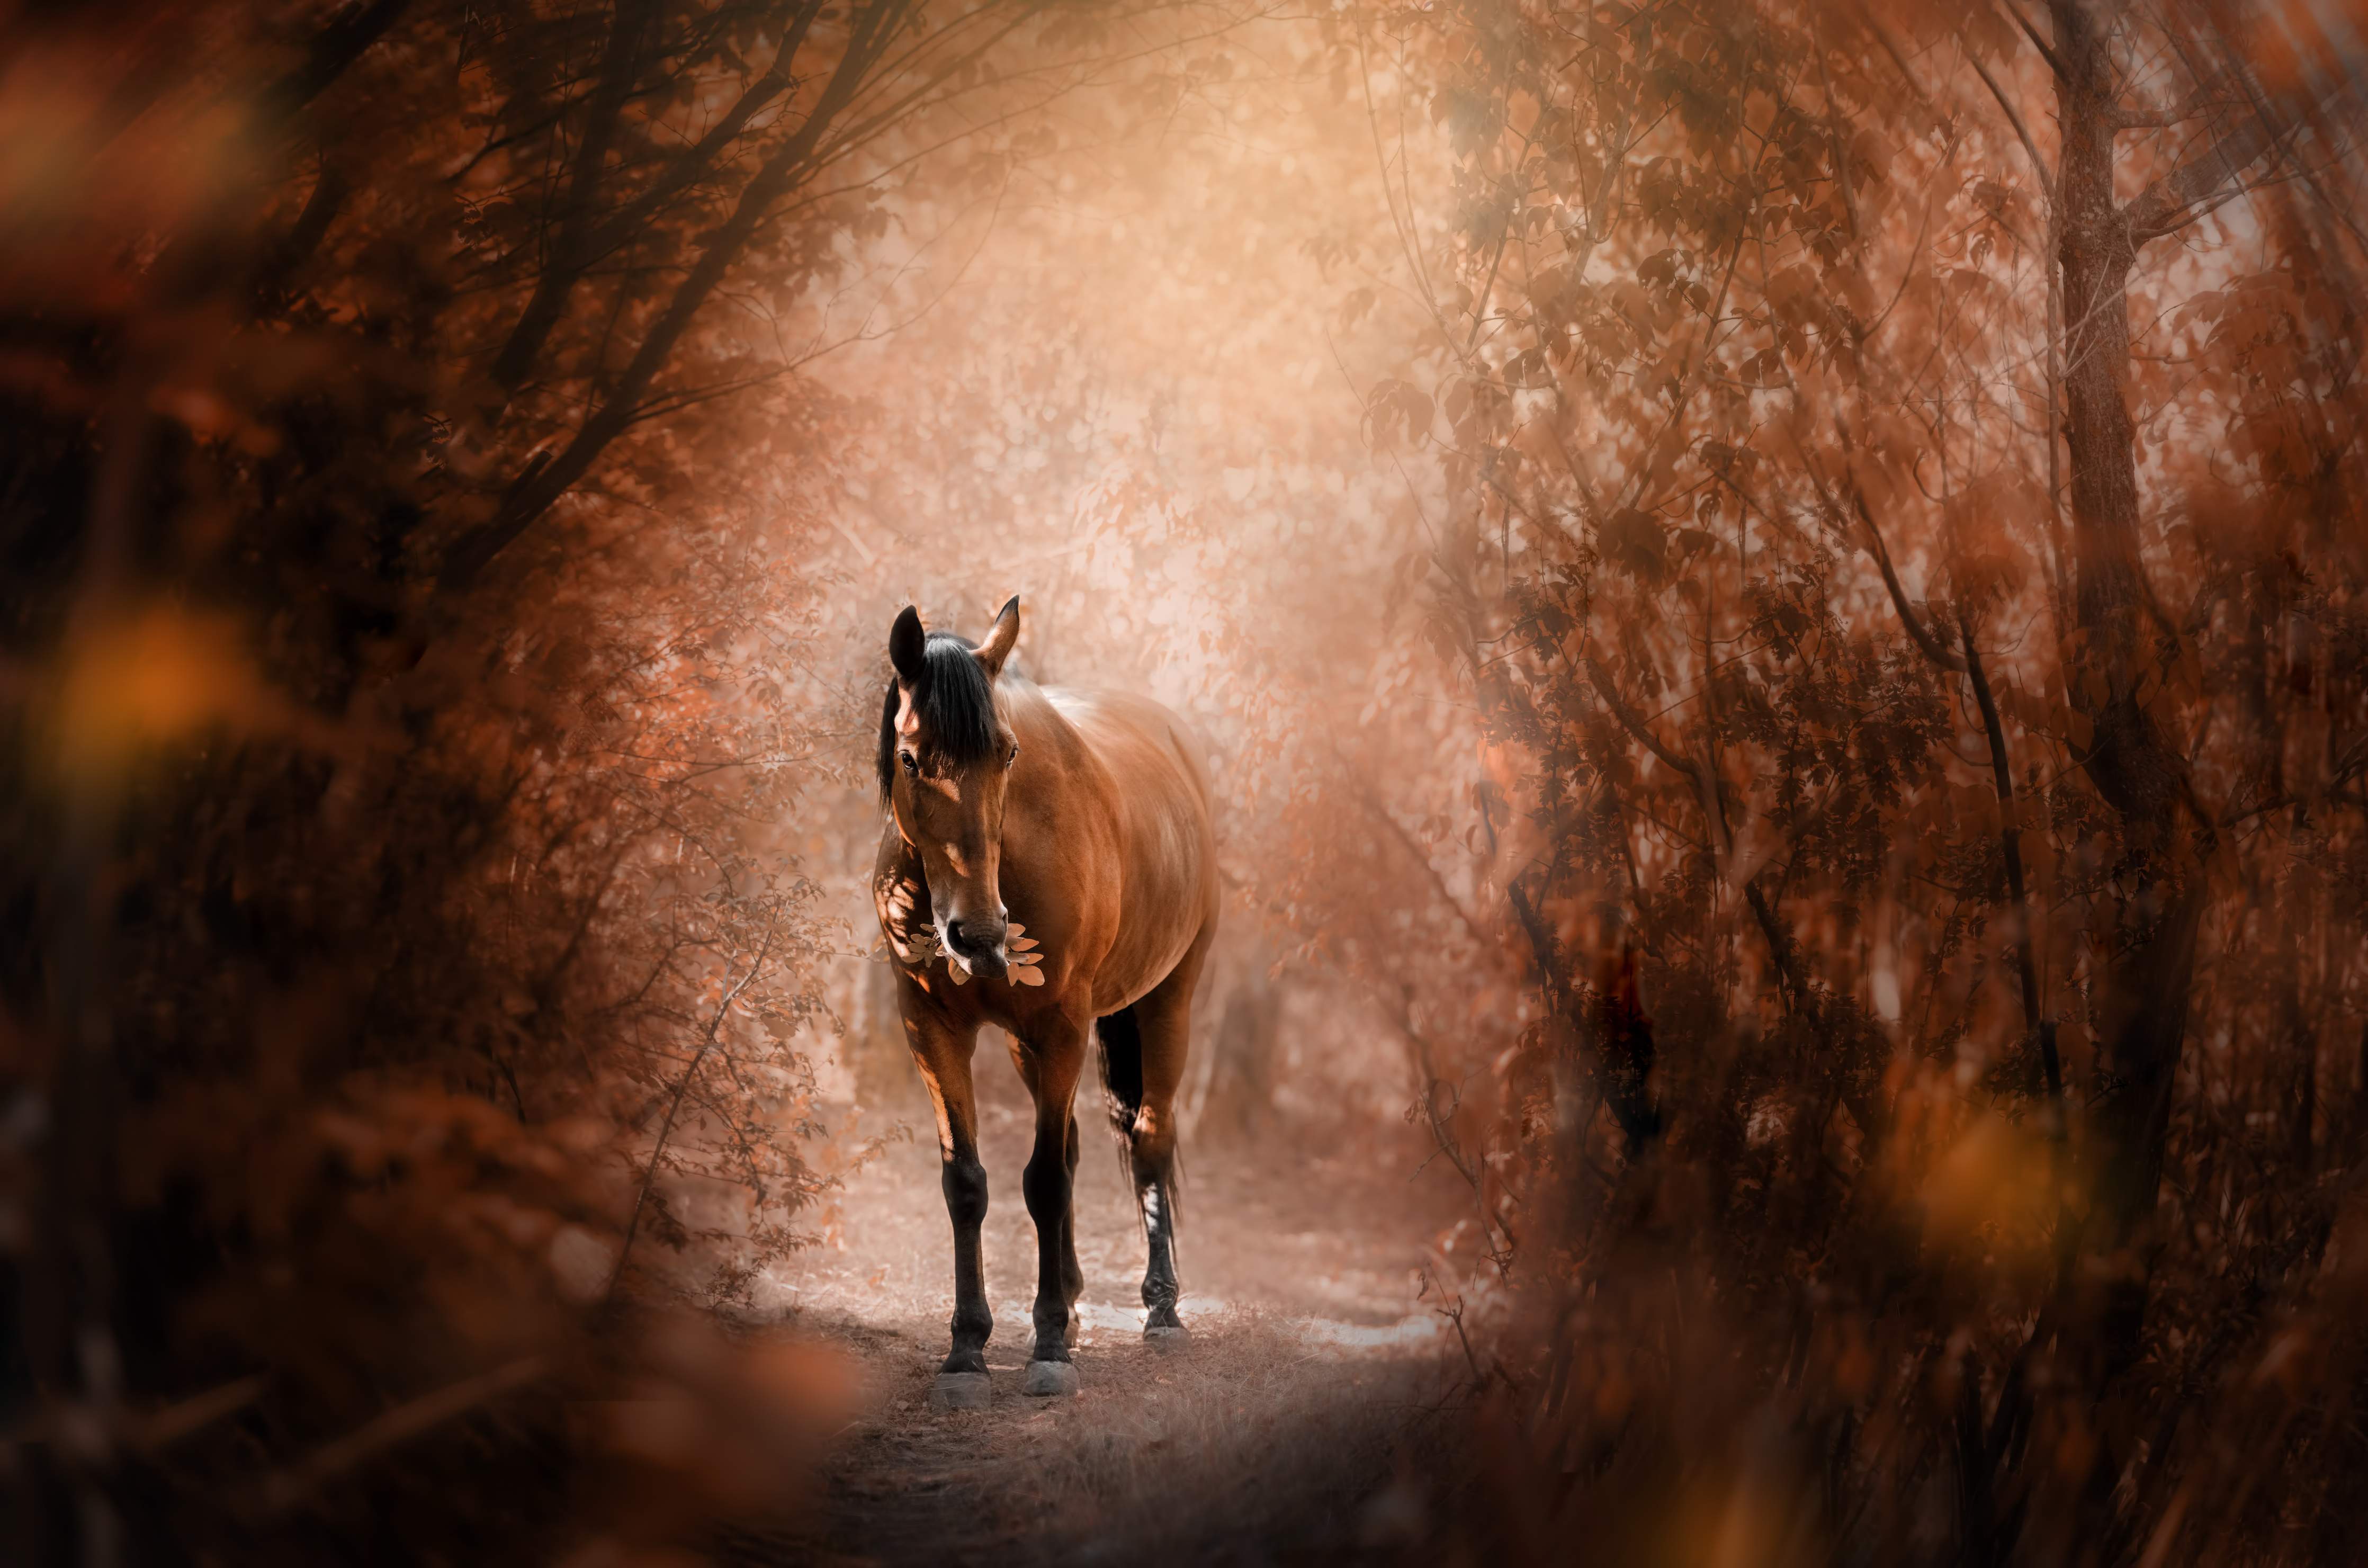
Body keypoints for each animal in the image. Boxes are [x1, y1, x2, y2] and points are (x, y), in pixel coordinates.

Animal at [871, 596, 1219, 1403]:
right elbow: (967, 1182)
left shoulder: (1063, 1024)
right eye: (910, 758)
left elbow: (1046, 1181)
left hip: (1168, 1000)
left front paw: (1050, 1347)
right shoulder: (932, 1029)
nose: (977, 935)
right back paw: (1078, 1299)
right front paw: (968, 1350)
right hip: (1025, 1042)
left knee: (1149, 1138)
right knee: (1079, 1142)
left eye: (1006, 754)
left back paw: (1161, 1309)